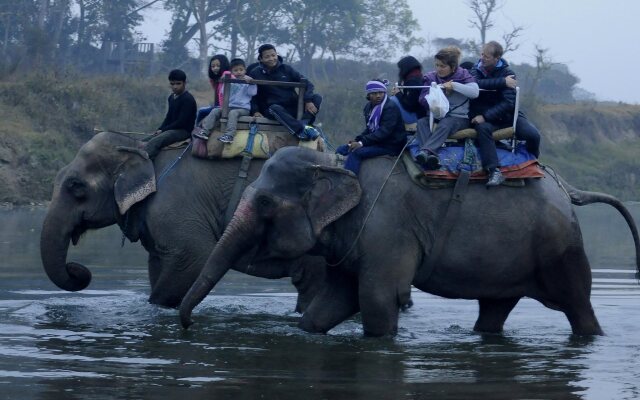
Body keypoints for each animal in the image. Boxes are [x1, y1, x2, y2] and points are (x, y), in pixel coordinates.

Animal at [41, 131, 324, 310]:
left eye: (76, 186)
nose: (78, 270)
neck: (142, 148)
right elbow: (157, 266)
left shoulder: (174, 206)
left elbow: (195, 256)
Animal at [180, 147, 640, 338]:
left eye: (264, 202)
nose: (187, 326)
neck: (336, 164)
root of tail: (568, 188)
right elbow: (332, 303)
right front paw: (311, 330)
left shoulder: (387, 227)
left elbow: (376, 299)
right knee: (493, 311)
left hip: (561, 246)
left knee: (578, 306)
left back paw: (592, 336)